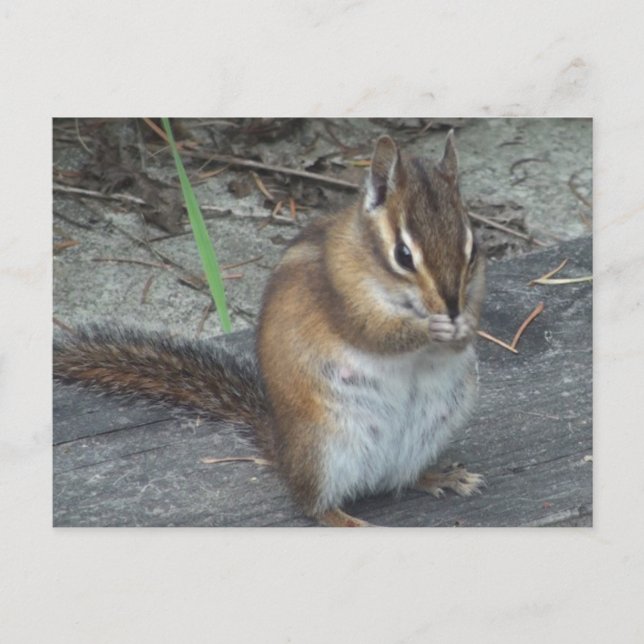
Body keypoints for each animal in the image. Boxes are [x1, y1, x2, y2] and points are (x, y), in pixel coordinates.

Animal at [54, 131, 486, 527]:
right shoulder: (344, 296)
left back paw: (441, 477)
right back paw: (351, 521)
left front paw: (466, 326)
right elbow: (377, 333)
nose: (451, 307)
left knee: (401, 479)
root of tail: (282, 449)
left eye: (473, 248)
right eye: (403, 254)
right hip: (324, 448)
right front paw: (432, 328)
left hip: (432, 429)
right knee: (313, 506)